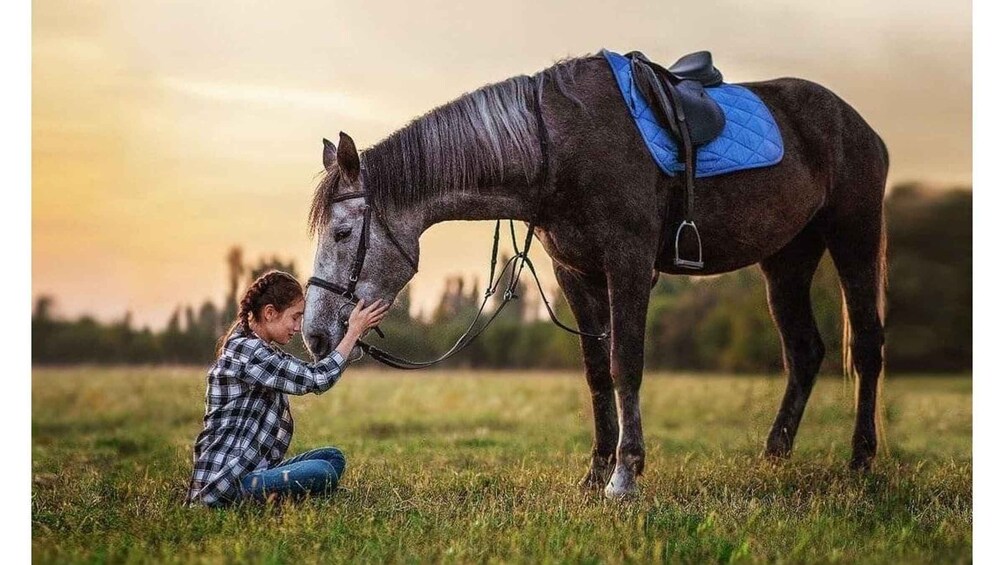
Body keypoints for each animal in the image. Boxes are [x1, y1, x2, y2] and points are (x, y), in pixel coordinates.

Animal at [297, 53, 887, 499]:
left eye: (343, 234)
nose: (315, 336)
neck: (555, 146)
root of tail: (858, 124)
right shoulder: (576, 273)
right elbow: (597, 373)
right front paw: (597, 470)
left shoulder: (627, 262)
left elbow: (625, 364)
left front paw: (625, 476)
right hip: (787, 260)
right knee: (804, 352)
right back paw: (774, 456)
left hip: (853, 237)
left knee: (868, 348)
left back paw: (860, 460)